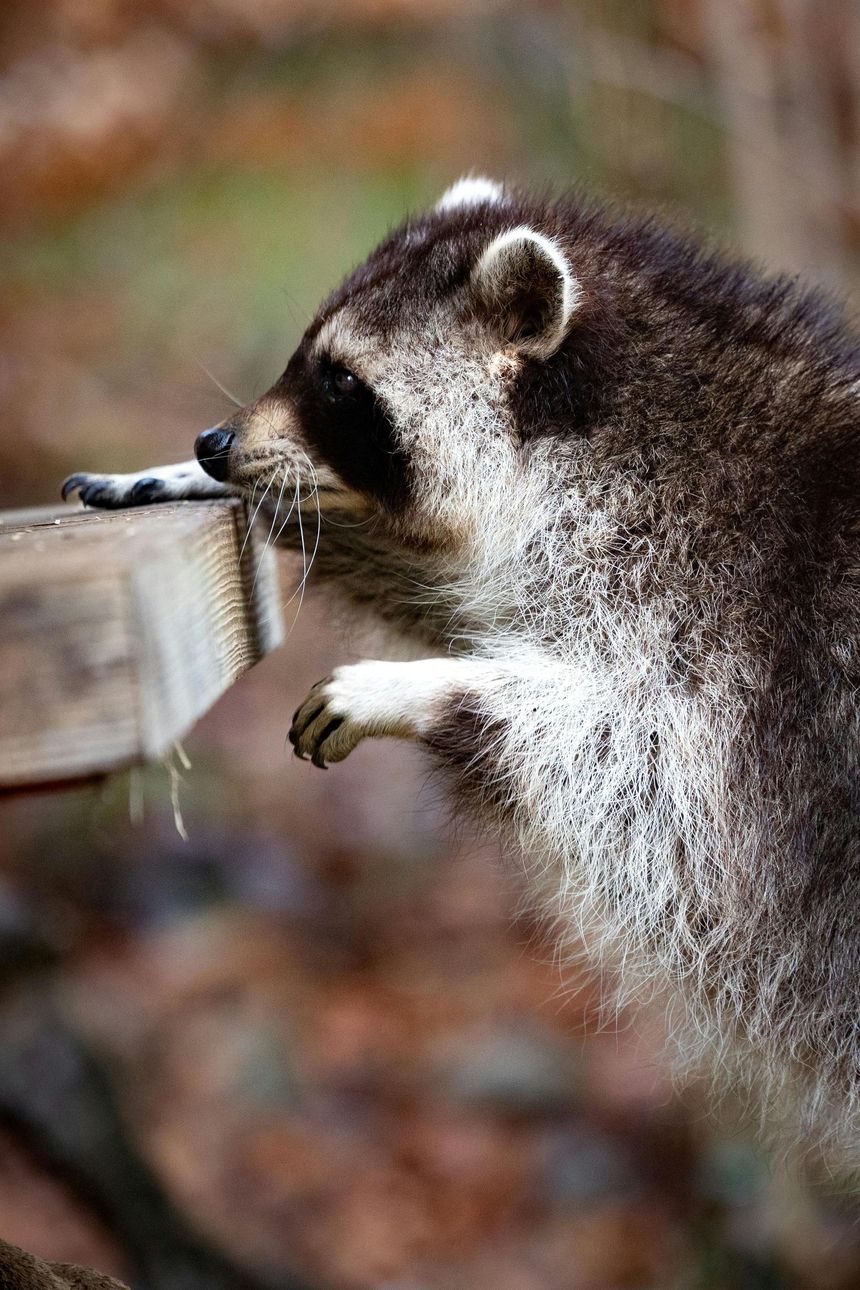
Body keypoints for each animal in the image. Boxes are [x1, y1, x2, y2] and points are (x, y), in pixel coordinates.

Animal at [64, 176, 860, 1158]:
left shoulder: (735, 625)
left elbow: (656, 784)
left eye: (341, 380)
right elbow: (459, 584)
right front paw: (203, 480)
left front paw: (425, 686)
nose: (216, 443)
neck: (600, 432)